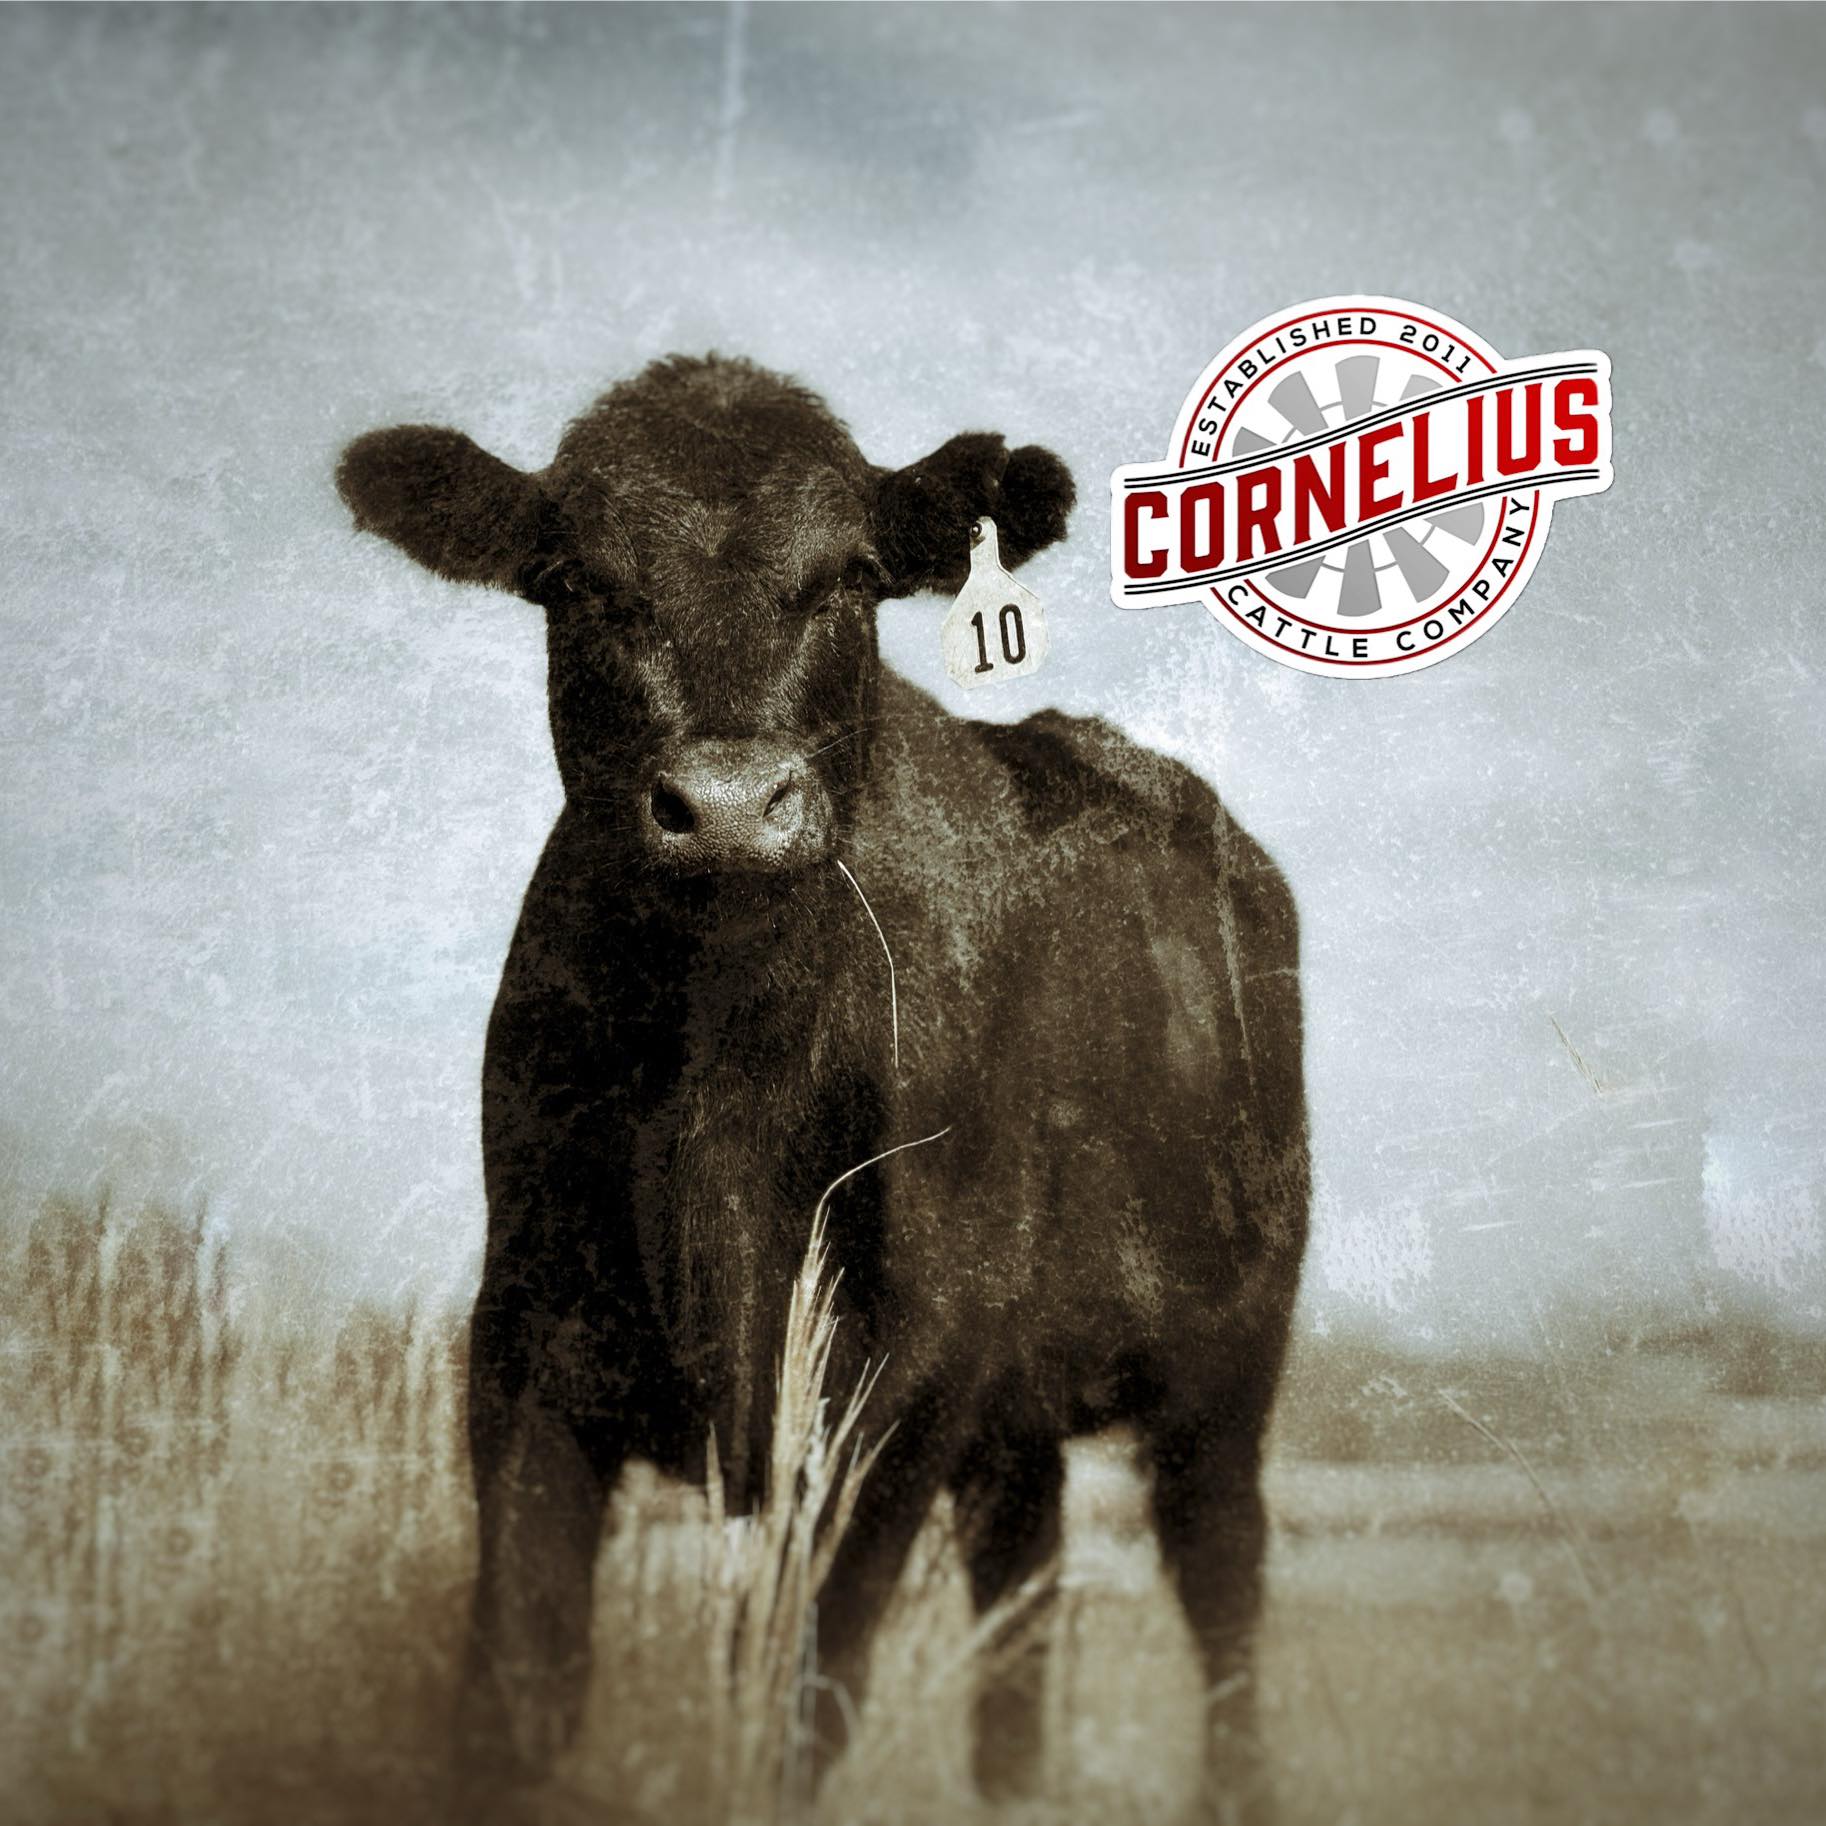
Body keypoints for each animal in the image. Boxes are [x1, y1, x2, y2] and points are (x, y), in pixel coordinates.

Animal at [336, 354, 1309, 1820]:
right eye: (577, 580)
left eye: (850, 576)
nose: (732, 804)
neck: (716, 1066)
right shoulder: (524, 1334)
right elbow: (515, 1679)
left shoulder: (896, 1379)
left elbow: (804, 1691)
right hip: (1016, 1415)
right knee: (1020, 1595)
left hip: (1219, 1367)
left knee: (1223, 1588)